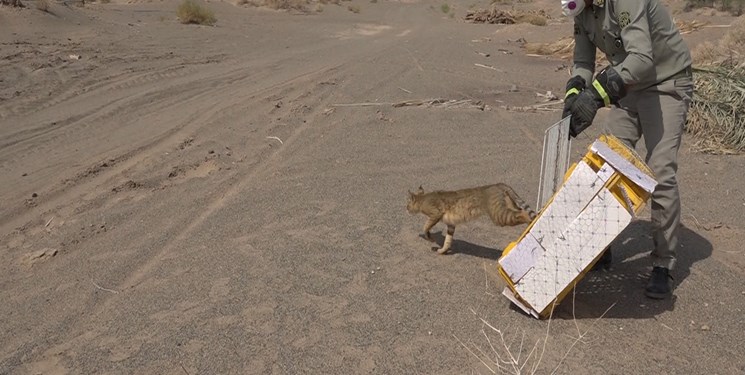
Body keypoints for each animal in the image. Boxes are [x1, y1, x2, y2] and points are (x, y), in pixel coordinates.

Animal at [406, 184, 536, 256]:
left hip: (499, 216)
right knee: (520, 210)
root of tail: (498, 184)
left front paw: (430, 238)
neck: (423, 199)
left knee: (523, 213)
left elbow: (425, 227)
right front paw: (442, 251)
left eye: (407, 204)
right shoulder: (451, 224)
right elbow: (448, 241)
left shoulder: (435, 214)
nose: (405, 209)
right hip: (508, 206)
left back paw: (530, 221)